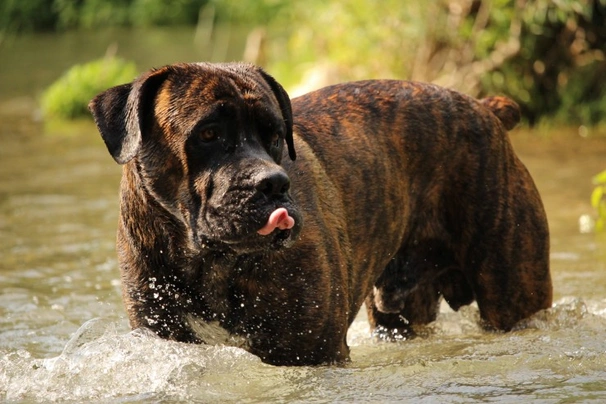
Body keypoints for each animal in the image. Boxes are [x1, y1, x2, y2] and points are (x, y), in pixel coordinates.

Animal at [91, 62, 556, 366]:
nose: (273, 182)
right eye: (207, 134)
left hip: (514, 292)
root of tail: (485, 107)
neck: (211, 262)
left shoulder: (315, 353)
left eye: (275, 134)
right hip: (400, 311)